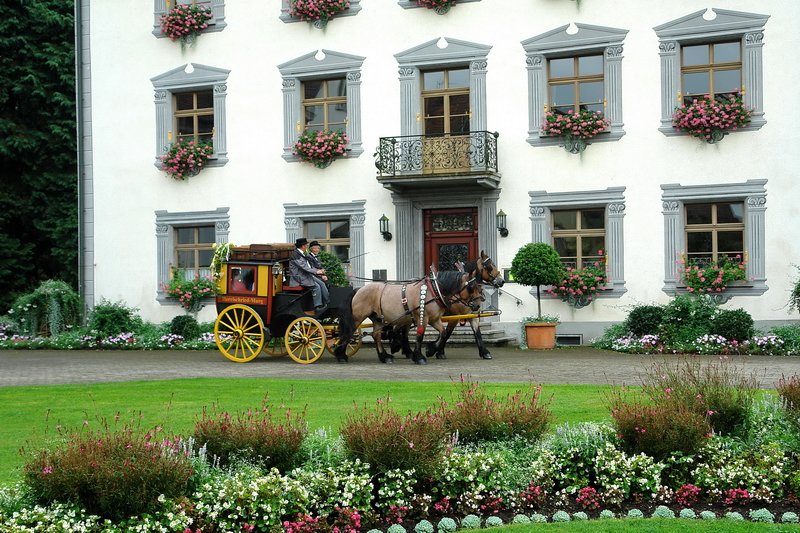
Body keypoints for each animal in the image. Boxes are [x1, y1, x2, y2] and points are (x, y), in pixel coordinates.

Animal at [332, 270, 482, 362]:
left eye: (478, 287)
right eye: (472, 287)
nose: (476, 306)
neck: (433, 291)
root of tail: (358, 289)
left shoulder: (434, 319)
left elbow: (444, 332)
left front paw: (431, 350)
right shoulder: (423, 317)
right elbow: (420, 335)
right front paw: (419, 356)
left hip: (377, 317)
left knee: (376, 335)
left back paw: (384, 357)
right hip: (358, 316)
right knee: (348, 333)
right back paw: (341, 355)